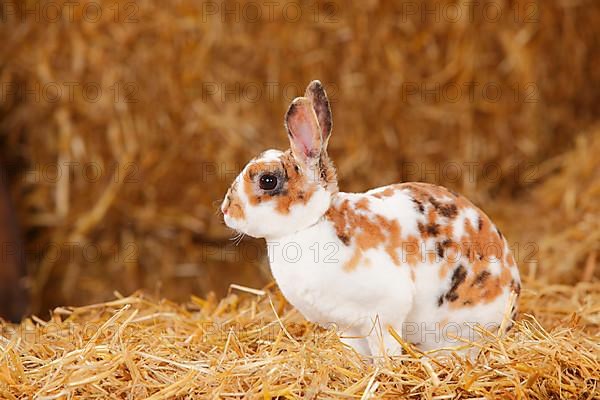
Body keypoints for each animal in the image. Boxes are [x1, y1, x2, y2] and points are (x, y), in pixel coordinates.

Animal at [220, 79, 520, 358]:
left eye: (267, 180)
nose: (226, 210)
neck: (311, 223)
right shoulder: (348, 327)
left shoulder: (384, 313)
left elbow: (385, 348)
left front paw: (384, 370)